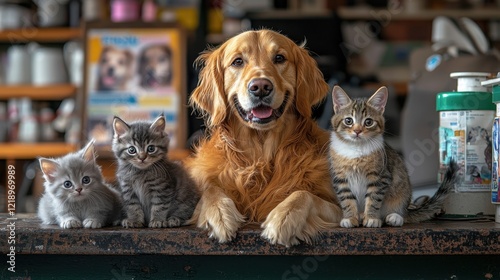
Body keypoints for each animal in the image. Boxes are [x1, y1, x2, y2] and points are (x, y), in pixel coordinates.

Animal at [328, 86, 458, 229]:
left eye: (368, 122)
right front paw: (350, 217)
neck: (356, 149)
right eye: (348, 121)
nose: (357, 131)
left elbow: (373, 198)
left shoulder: (380, 177)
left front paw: (372, 218)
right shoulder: (340, 178)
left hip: (402, 191)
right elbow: (346, 199)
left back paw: (394, 217)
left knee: (402, 213)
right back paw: (361, 215)